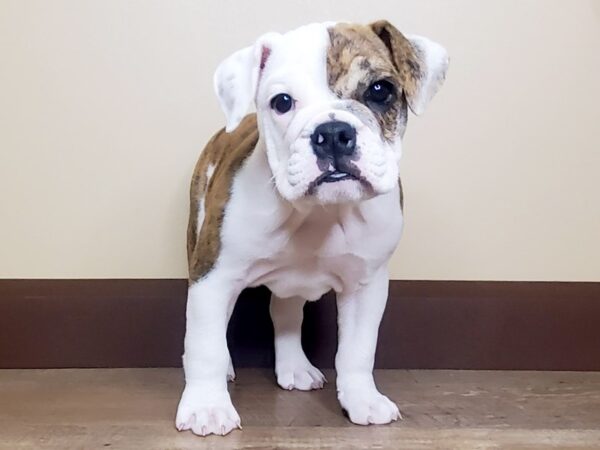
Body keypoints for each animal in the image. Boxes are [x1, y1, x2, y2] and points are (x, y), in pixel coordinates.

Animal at [176, 20, 448, 436]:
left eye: (380, 90)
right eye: (282, 102)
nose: (333, 132)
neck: (318, 212)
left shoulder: (366, 286)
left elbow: (358, 350)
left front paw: (362, 399)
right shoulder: (214, 276)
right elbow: (206, 344)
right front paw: (207, 406)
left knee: (286, 313)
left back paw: (295, 367)